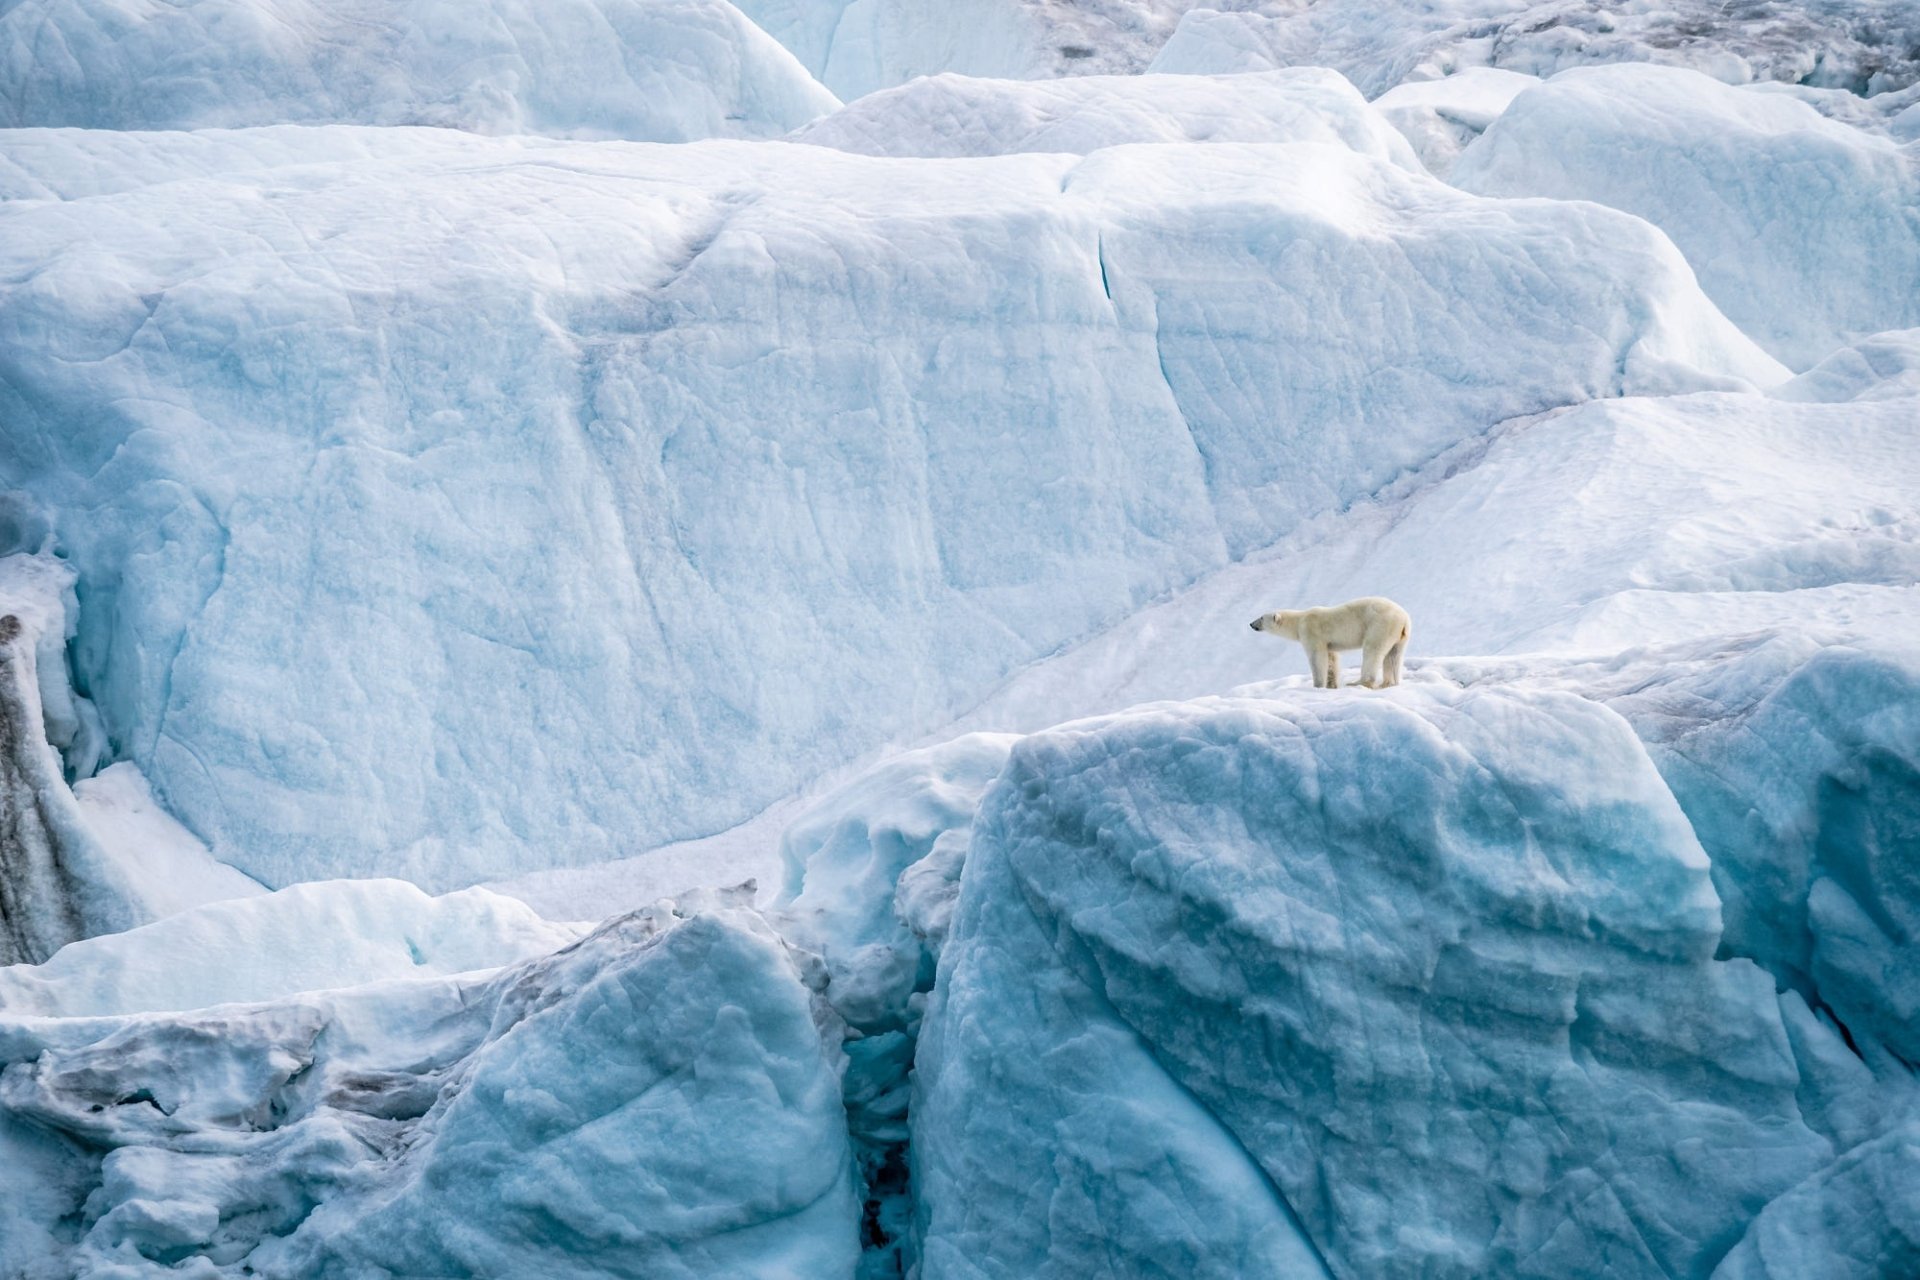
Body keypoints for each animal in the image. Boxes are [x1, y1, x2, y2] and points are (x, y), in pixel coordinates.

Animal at [1249, 596, 1411, 689]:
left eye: (1261, 617)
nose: (1251, 624)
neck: (1299, 620)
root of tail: (1404, 618)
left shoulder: (1311, 631)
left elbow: (1317, 657)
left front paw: (1318, 685)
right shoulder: (1329, 642)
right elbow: (1331, 658)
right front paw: (1331, 685)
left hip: (1380, 625)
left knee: (1373, 650)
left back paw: (1359, 682)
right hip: (1399, 634)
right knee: (1394, 656)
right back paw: (1389, 683)